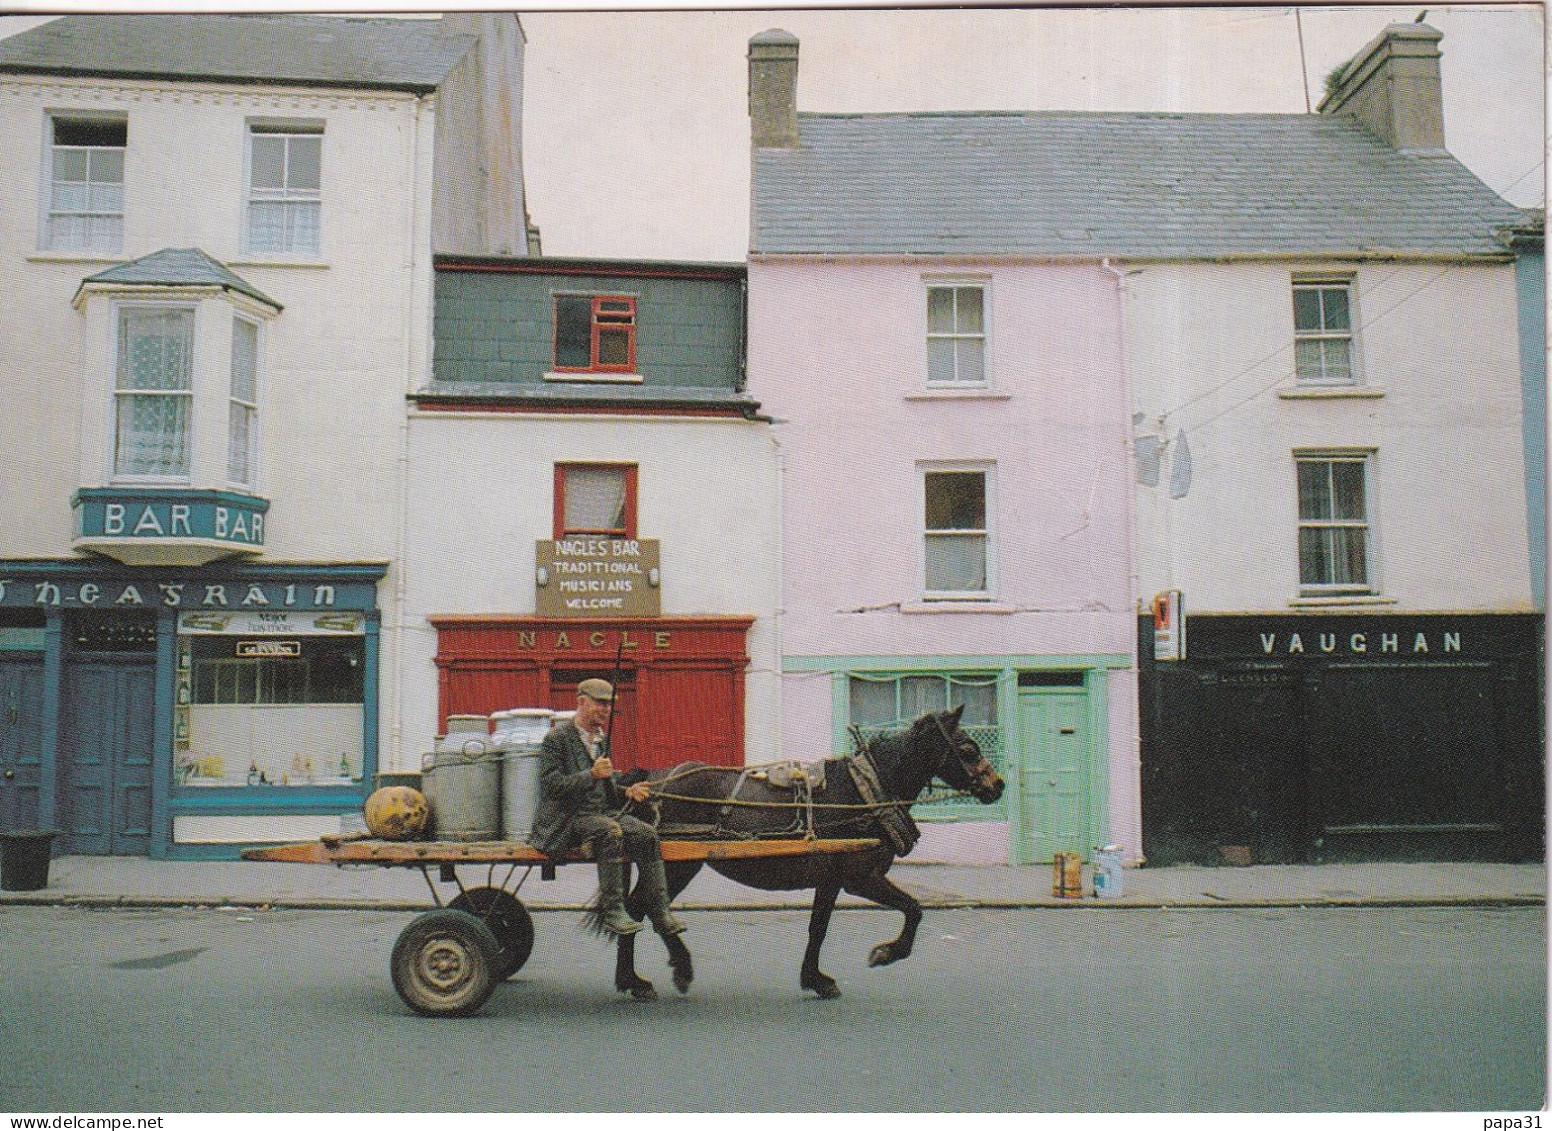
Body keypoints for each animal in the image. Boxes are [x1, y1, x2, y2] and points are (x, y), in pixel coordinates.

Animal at [611, 707, 999, 999]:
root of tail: (648, 782)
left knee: (636, 908)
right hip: (681, 863)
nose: (998, 785)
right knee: (645, 907)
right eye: (968, 749)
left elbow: (818, 928)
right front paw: (887, 953)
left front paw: (815, 978)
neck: (865, 790)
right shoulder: (860, 877)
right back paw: (670, 970)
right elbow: (914, 909)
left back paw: (633, 979)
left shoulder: (831, 879)